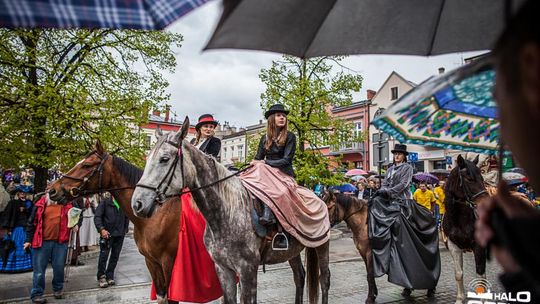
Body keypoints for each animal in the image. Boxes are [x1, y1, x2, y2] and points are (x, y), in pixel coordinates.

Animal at [48, 142, 181, 304]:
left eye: (86, 165)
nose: (52, 190)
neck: (157, 214)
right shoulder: (152, 262)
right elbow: (162, 296)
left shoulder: (169, 263)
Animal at [133, 119, 332, 304]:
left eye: (164, 159)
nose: (137, 203)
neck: (226, 213)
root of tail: (318, 195)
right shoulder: (223, 269)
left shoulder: (247, 270)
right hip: (293, 251)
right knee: (300, 276)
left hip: (322, 244)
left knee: (324, 279)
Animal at [442, 156, 490, 302]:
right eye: (469, 179)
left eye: (482, 177)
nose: (487, 203)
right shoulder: (454, 246)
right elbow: (458, 274)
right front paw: (460, 299)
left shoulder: (479, 248)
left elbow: (480, 277)